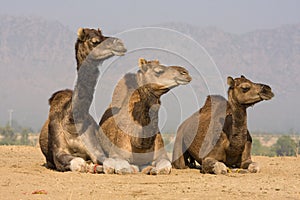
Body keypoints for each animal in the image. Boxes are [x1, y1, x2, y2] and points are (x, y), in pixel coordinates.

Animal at [38, 27, 126, 173]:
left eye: (103, 36)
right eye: (94, 41)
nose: (120, 43)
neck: (72, 122)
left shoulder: (96, 150)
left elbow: (108, 162)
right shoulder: (59, 153)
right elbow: (78, 162)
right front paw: (89, 166)